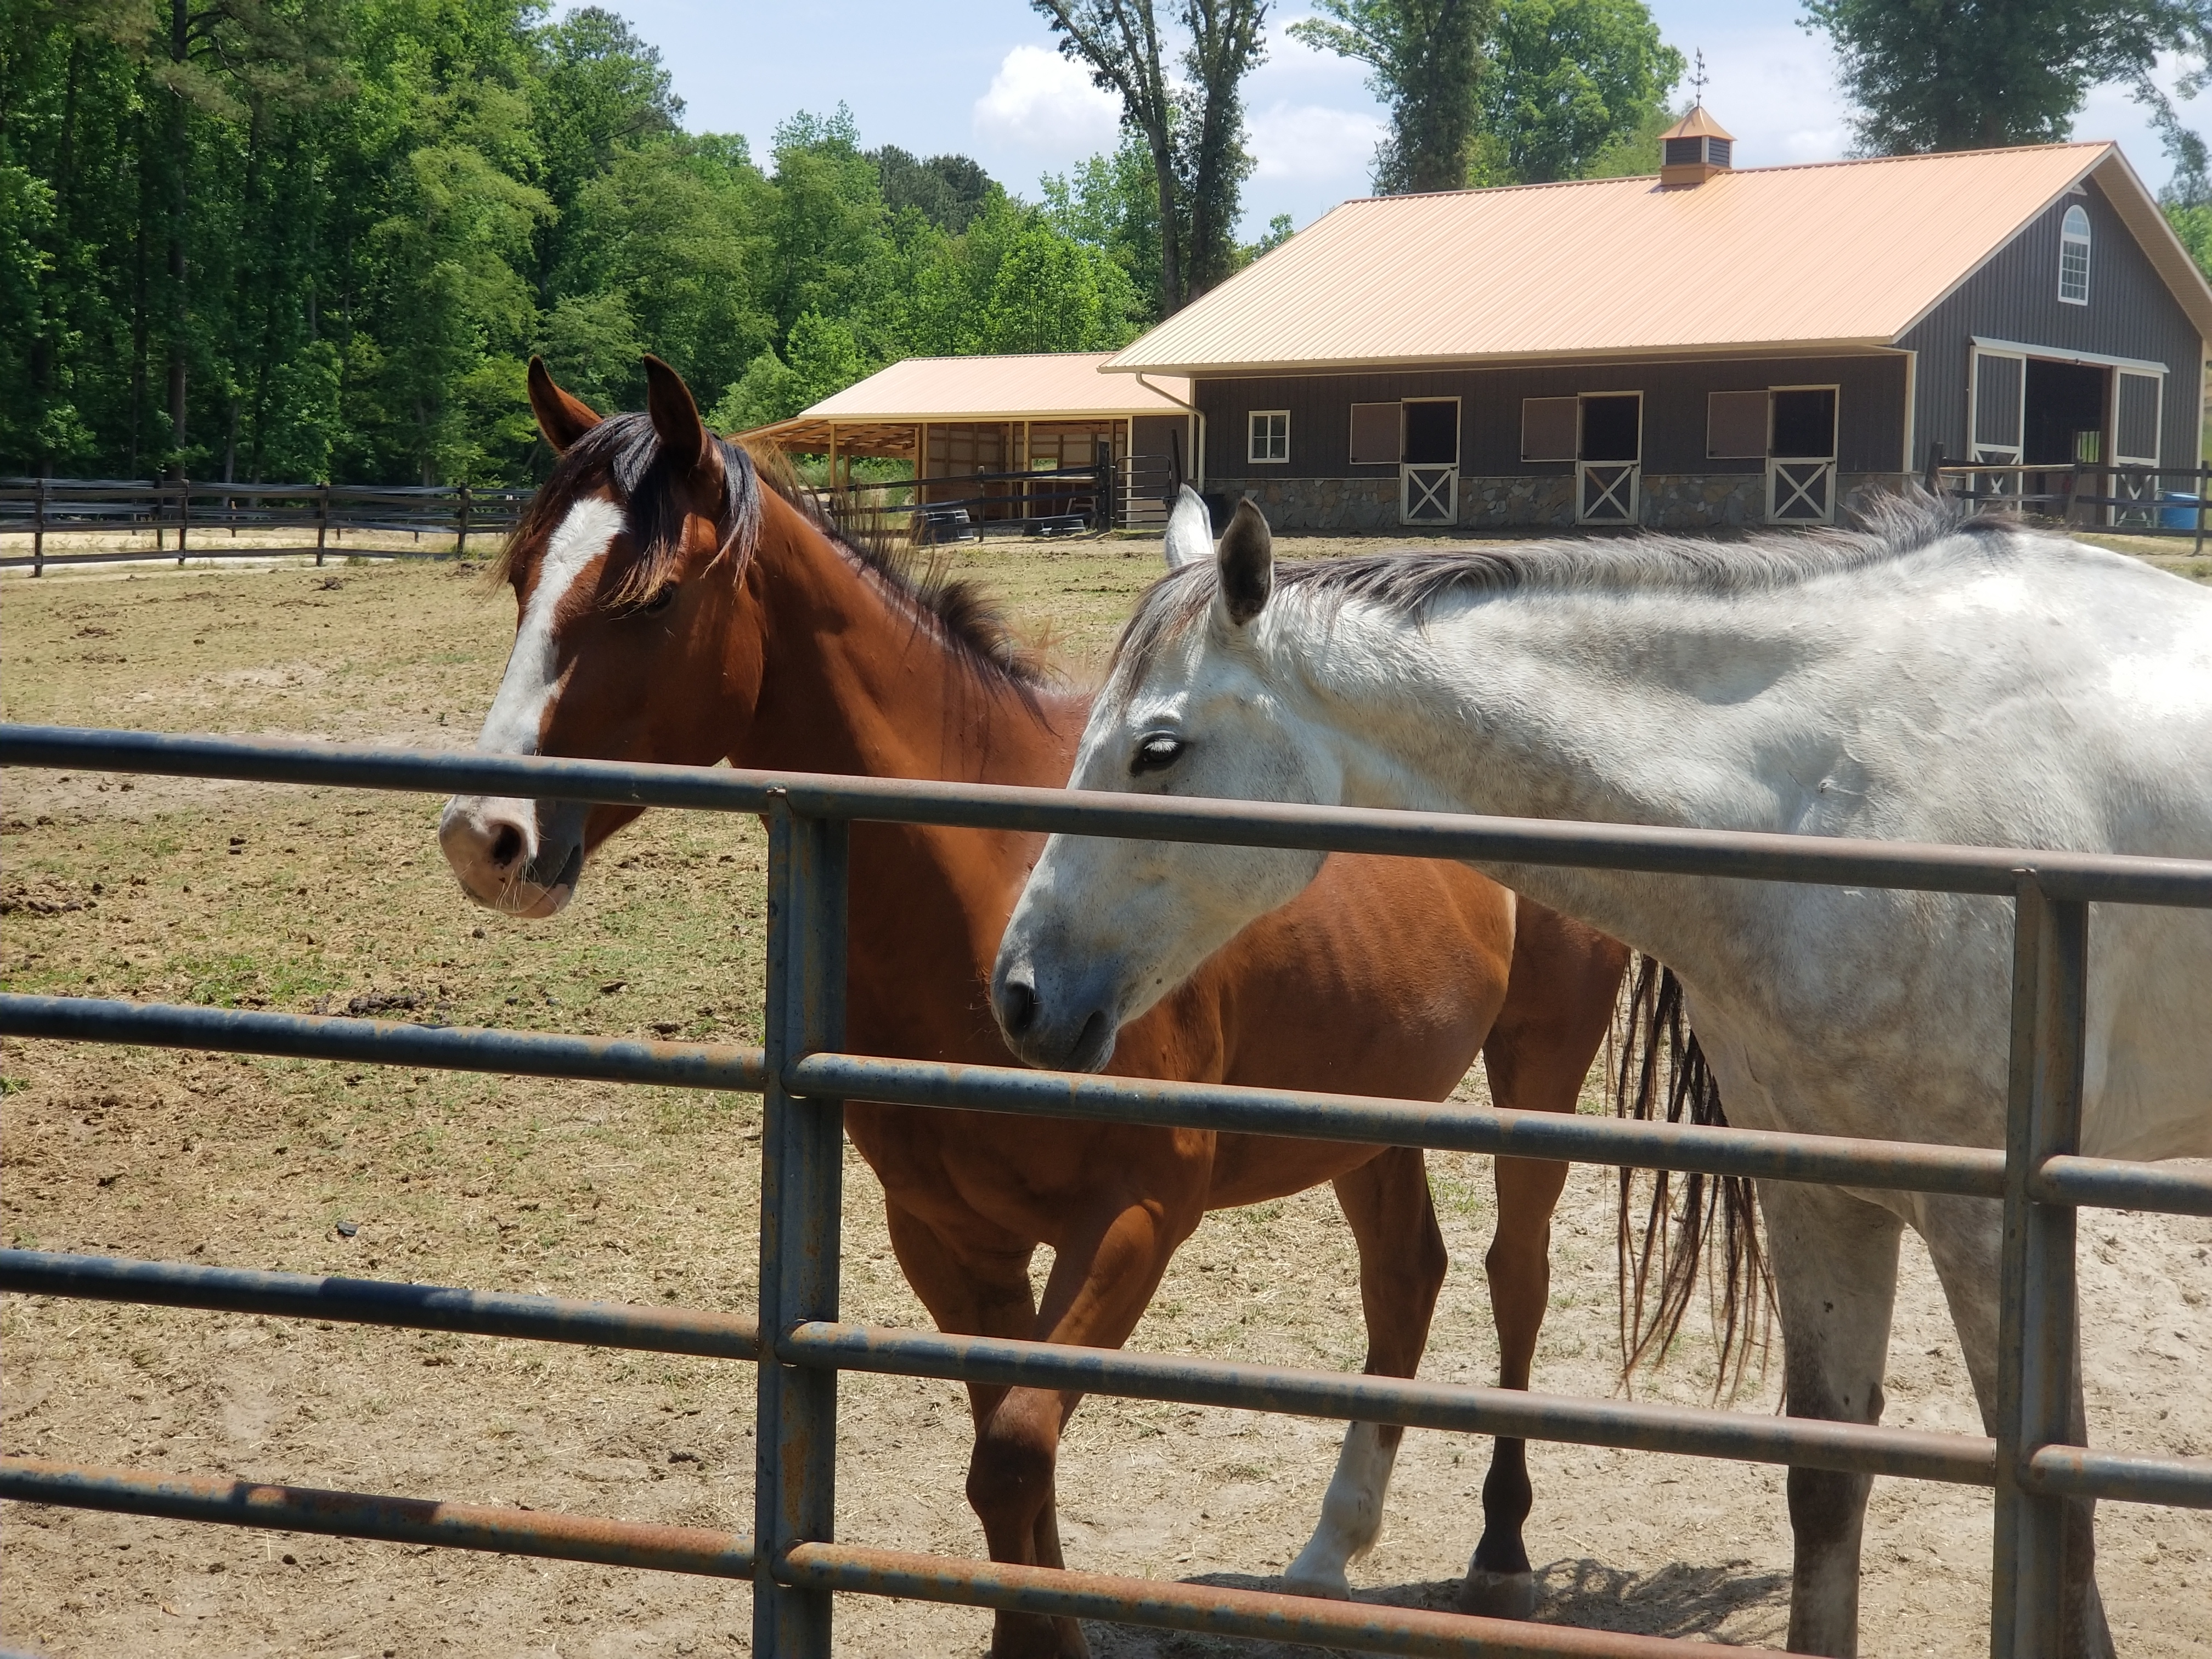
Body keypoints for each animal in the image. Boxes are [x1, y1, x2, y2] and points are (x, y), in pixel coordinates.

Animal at [435, 356, 1648, 1656]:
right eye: (524, 578)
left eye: (651, 599)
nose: (485, 836)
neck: (987, 873)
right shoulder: (951, 1239)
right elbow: (1008, 1461)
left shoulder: (1134, 1218)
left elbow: (1016, 1453)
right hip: (1370, 1103)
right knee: (1406, 1280)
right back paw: (1327, 1558)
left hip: (1535, 1071)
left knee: (1513, 1276)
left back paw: (1501, 1554)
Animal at [992, 494, 2212, 1657]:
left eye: (1157, 749)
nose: (1020, 991)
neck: (1838, 792)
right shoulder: (1821, 1198)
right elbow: (1825, 1485)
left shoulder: (1994, 1224)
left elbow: (2062, 1508)